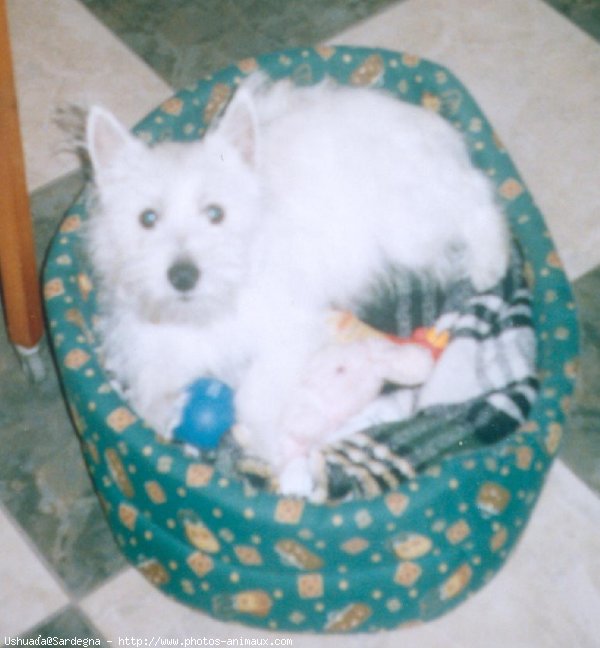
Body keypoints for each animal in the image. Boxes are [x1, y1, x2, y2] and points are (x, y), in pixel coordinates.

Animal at [86, 76, 508, 492]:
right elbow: (152, 391)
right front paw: (171, 413)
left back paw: (490, 263)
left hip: (411, 229)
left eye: (215, 213)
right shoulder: (151, 346)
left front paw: (267, 448)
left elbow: (254, 394)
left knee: (476, 202)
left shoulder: (288, 330)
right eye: (147, 218)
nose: (183, 276)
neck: (210, 309)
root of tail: (425, 122)